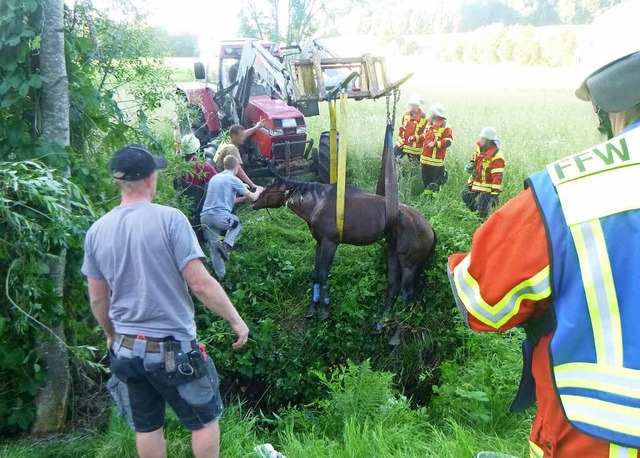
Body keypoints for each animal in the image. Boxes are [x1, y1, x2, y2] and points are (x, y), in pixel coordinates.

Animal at [252, 177, 438, 338]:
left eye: (269, 187)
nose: (254, 200)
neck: (318, 203)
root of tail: (428, 227)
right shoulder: (319, 243)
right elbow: (316, 275)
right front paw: (312, 308)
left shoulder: (330, 243)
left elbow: (322, 275)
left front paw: (324, 310)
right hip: (392, 255)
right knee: (393, 288)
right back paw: (381, 323)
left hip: (408, 265)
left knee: (407, 293)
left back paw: (397, 334)